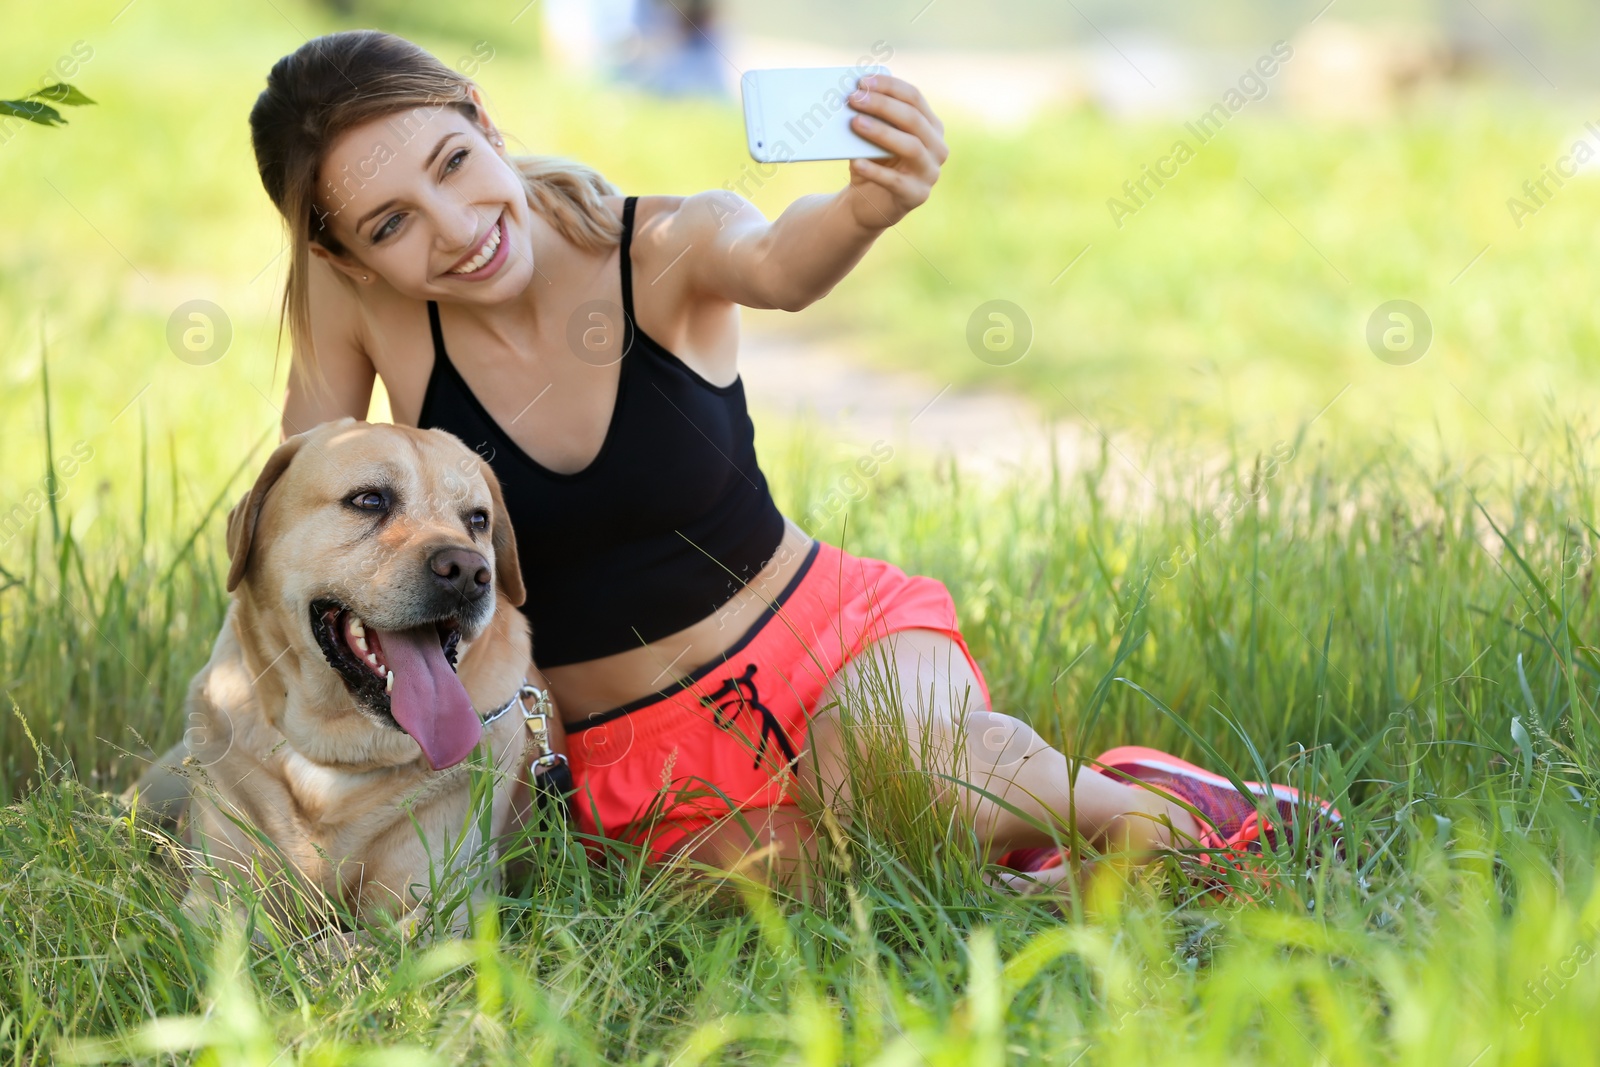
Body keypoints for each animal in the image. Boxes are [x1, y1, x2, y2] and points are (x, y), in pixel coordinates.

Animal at [124, 419, 553, 934]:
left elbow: (335, 948)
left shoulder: (445, 911)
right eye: (369, 500)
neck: (336, 755)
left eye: (478, 520)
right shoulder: (214, 899)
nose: (470, 571)